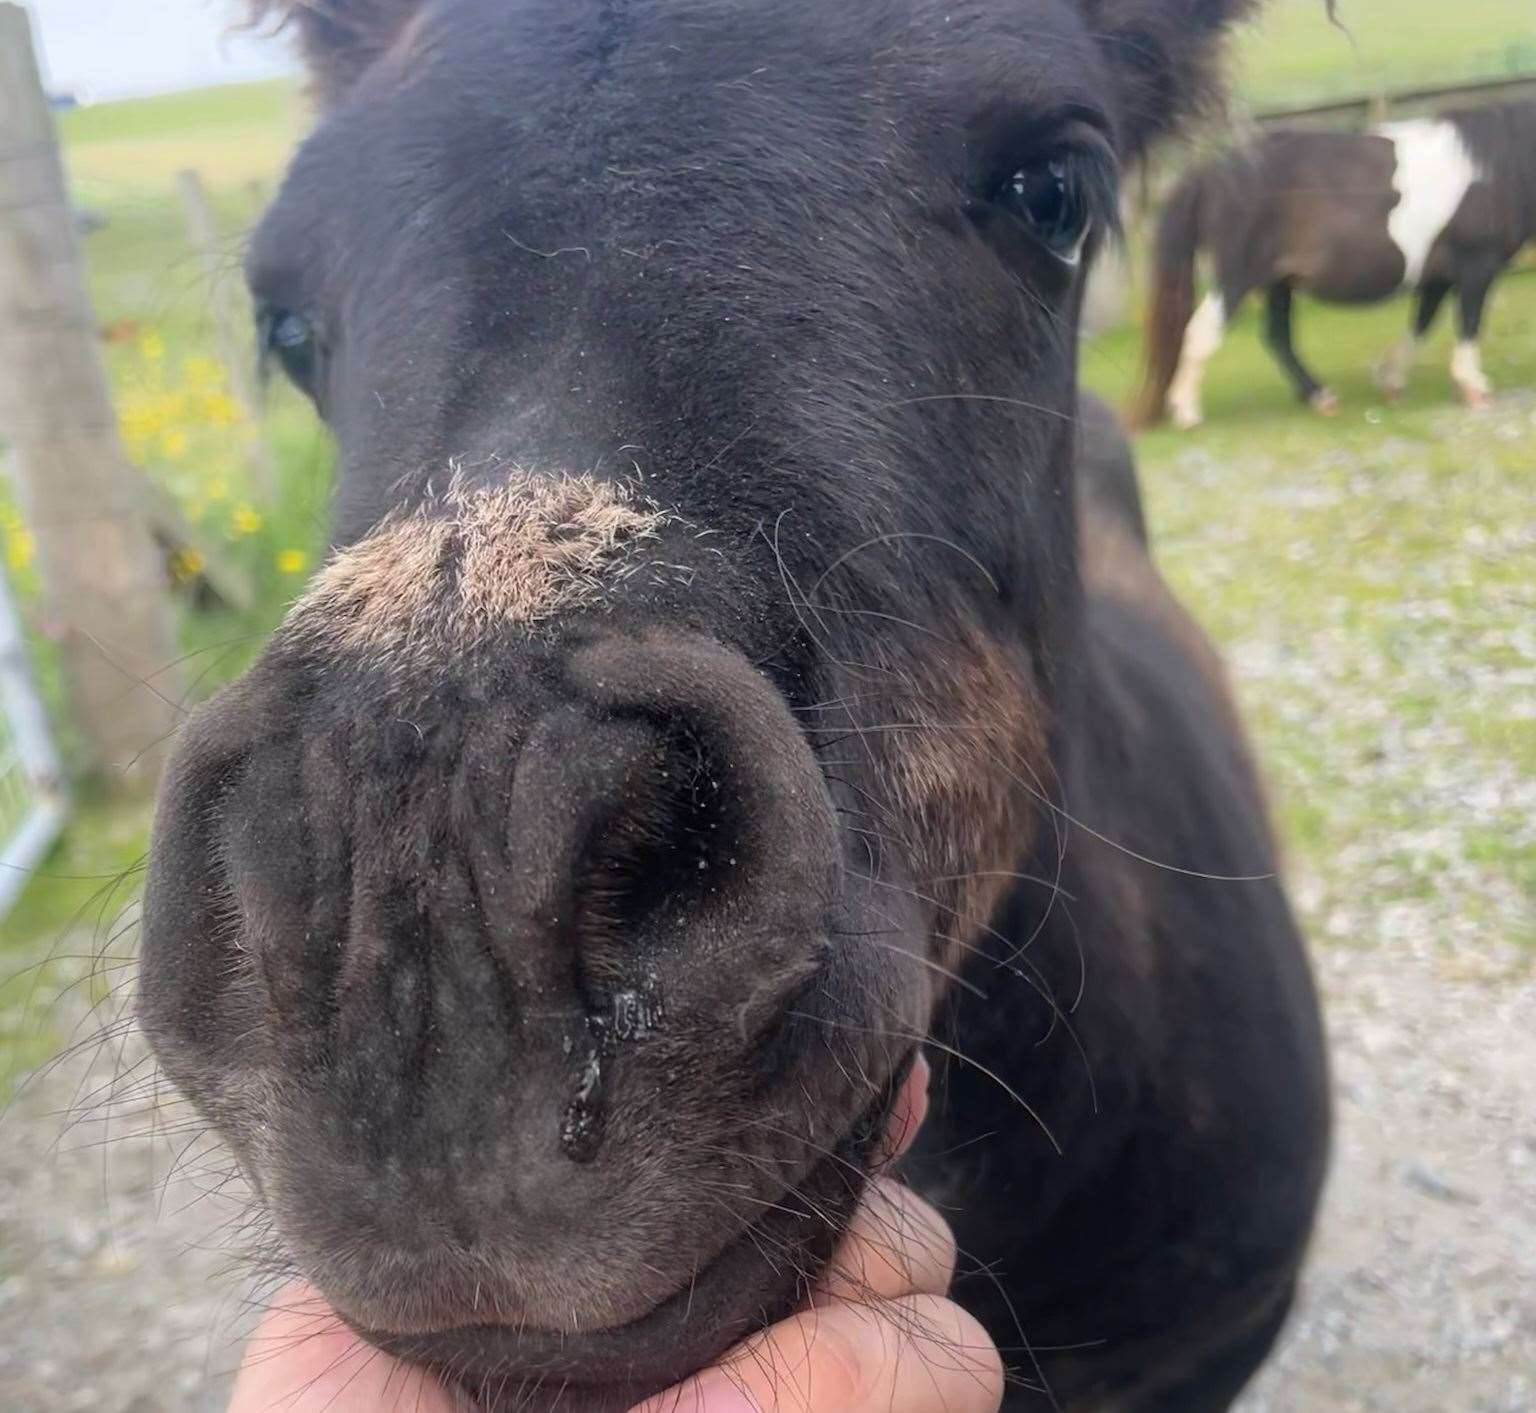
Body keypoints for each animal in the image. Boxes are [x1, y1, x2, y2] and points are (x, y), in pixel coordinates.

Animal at [1130, 102, 1536, 426]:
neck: (1492, 170)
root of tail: (1211, 173)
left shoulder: (1439, 277)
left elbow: (1421, 325)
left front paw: (1392, 380)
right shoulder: (1476, 269)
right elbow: (1468, 326)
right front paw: (1474, 388)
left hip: (1278, 282)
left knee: (1277, 337)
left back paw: (1318, 396)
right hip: (1237, 278)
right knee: (1201, 332)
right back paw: (1186, 411)